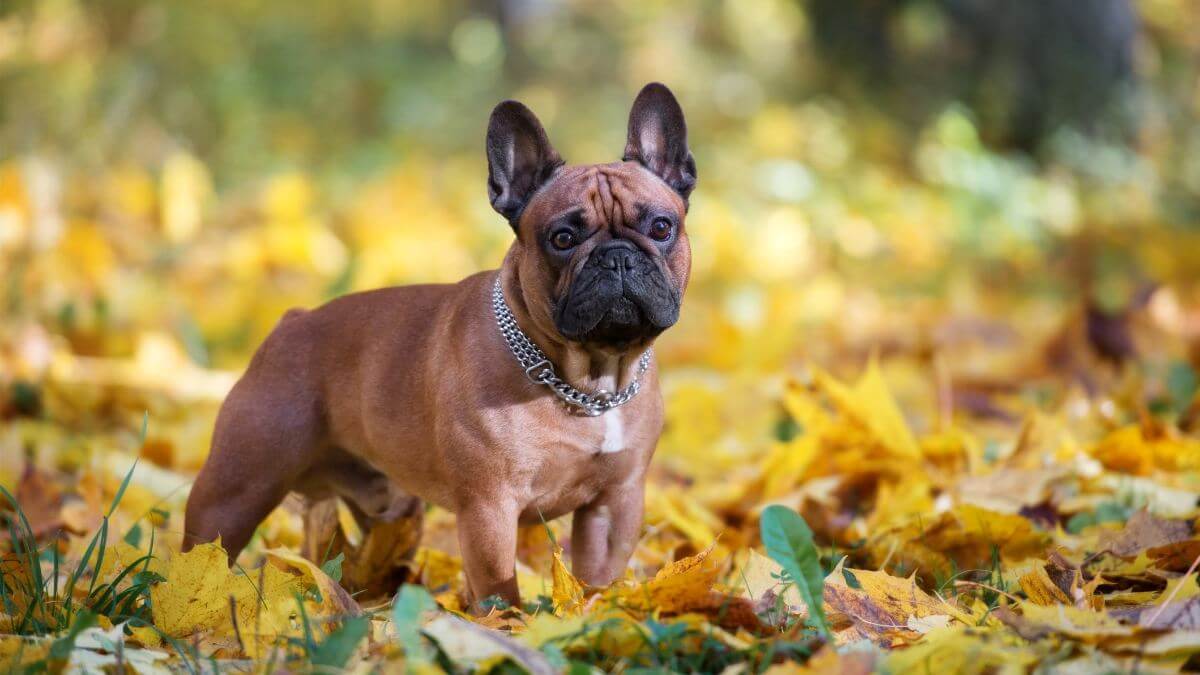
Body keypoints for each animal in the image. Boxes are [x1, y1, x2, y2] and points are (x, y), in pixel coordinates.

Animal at [182, 81, 700, 607]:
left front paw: (597, 609)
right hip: (236, 488)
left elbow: (598, 576)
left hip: (389, 506)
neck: (588, 381)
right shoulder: (489, 508)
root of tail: (293, 321)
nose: (617, 258)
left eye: (661, 227)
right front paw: (505, 623)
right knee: (203, 549)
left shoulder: (615, 502)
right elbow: (499, 588)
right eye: (562, 238)